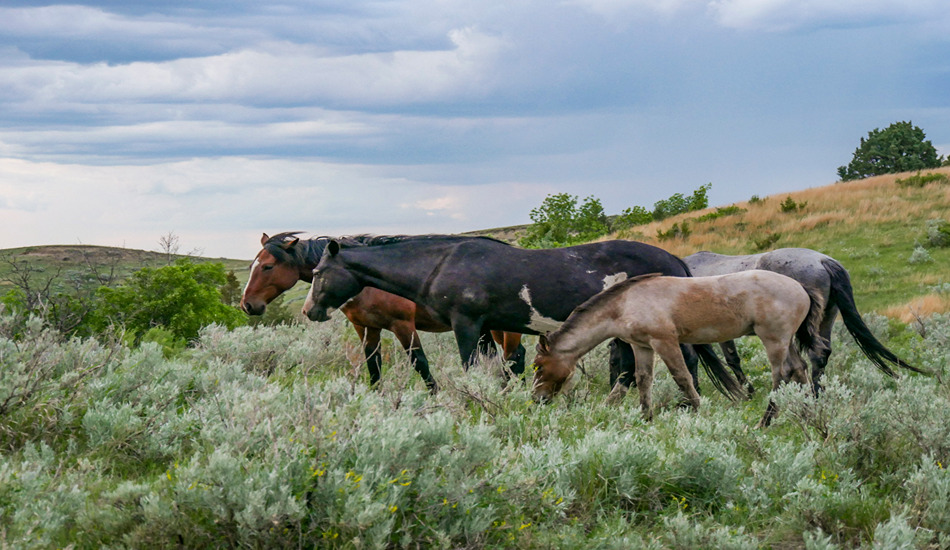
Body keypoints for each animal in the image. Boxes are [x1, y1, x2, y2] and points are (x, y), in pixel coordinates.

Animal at [240, 233, 528, 392]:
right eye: (253, 265)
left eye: (267, 266)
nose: (247, 304)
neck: (367, 281)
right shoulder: (367, 328)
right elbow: (374, 366)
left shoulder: (403, 325)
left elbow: (420, 363)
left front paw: (435, 395)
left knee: (514, 357)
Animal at [304, 235, 752, 404]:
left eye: (319, 273)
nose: (310, 310)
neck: (442, 264)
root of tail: (673, 259)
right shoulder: (486, 329)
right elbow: (495, 369)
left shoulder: (467, 325)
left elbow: (473, 368)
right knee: (629, 368)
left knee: (685, 362)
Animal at [532, 270, 828, 430]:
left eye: (538, 366)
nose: (537, 399)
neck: (625, 303)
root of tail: (800, 287)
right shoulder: (642, 346)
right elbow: (643, 380)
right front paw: (646, 417)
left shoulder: (665, 341)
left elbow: (682, 377)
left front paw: (698, 410)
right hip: (785, 341)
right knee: (799, 369)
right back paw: (808, 412)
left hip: (773, 339)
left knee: (782, 375)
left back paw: (765, 421)